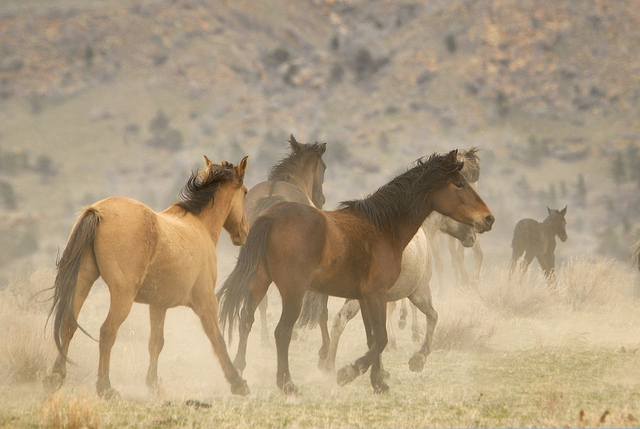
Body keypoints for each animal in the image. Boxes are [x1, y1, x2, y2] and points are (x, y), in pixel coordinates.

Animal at [43, 155, 250, 398]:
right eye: (245, 192)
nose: (244, 232)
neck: (199, 225)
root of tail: (98, 211)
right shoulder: (206, 301)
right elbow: (217, 338)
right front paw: (237, 382)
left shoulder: (158, 305)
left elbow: (156, 343)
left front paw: (153, 384)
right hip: (122, 295)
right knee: (107, 331)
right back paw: (105, 387)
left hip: (83, 282)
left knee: (68, 324)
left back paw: (56, 377)